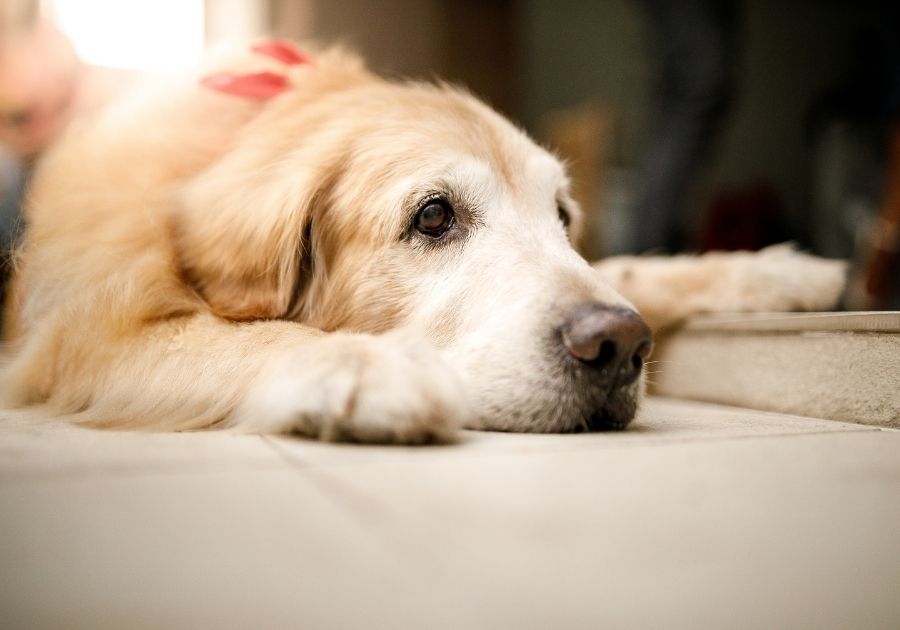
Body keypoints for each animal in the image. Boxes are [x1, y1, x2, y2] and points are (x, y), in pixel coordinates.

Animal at [0, 40, 848, 444]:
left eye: (562, 216)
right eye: (434, 217)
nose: (619, 346)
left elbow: (627, 268)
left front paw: (781, 275)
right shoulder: (82, 340)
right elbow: (249, 336)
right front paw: (370, 366)